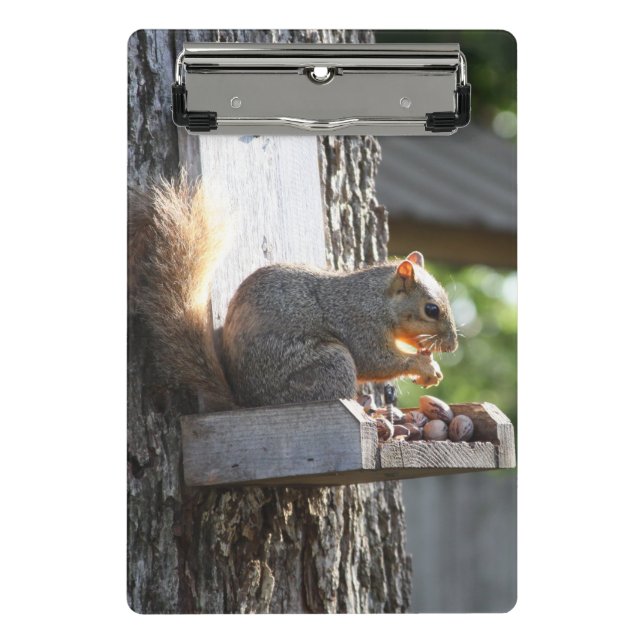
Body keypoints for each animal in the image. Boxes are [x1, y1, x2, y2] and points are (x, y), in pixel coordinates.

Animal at [129, 172, 458, 412]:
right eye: (431, 309)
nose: (452, 345)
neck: (378, 300)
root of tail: (248, 403)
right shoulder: (359, 323)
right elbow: (376, 361)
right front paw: (422, 364)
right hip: (328, 365)